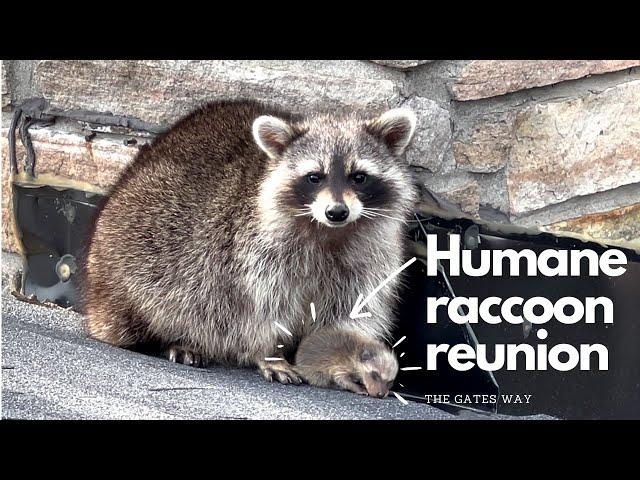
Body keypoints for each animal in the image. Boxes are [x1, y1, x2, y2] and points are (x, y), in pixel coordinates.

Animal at [81, 99, 420, 384]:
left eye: (358, 177)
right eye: (314, 177)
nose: (337, 212)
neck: (329, 233)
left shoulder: (369, 257)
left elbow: (351, 309)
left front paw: (340, 357)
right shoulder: (250, 255)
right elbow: (258, 310)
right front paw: (270, 353)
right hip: (126, 256)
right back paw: (175, 339)